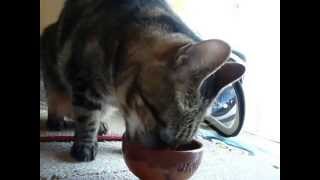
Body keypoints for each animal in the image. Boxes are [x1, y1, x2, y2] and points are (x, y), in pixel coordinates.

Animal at [40, 0, 245, 162]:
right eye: (160, 121)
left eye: (176, 144)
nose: (159, 151)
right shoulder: (84, 79)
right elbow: (87, 117)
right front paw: (85, 145)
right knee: (56, 97)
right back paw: (57, 119)